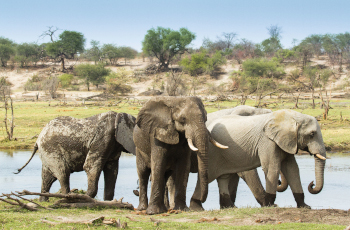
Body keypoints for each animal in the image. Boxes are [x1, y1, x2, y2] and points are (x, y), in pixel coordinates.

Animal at [190, 109, 326, 210]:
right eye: (312, 134)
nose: (312, 184)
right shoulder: (266, 141)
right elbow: (271, 168)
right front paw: (270, 205)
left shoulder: (287, 141)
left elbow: (292, 169)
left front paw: (305, 207)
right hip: (213, 152)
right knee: (209, 175)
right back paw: (196, 206)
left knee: (224, 176)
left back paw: (229, 207)